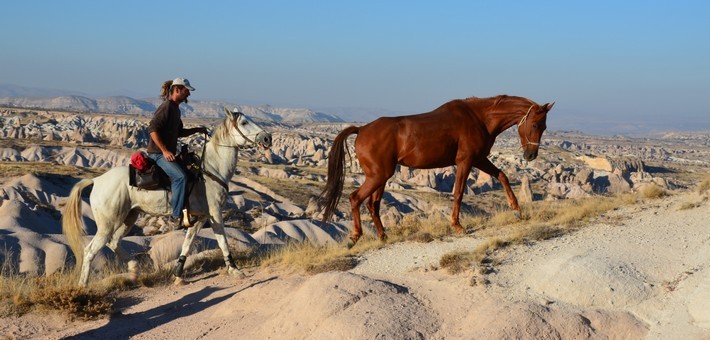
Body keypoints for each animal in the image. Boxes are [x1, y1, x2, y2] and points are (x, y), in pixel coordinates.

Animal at [62, 109, 272, 286]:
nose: (267, 137)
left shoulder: (199, 217)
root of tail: (96, 180)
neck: (211, 169)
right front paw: (235, 270)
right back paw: (83, 286)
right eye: (244, 122)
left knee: (113, 242)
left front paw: (178, 275)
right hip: (108, 223)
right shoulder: (215, 213)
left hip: (130, 217)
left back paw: (134, 269)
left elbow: (187, 244)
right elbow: (223, 241)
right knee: (90, 251)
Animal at [318, 94, 556, 246]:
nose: (530, 155)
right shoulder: (466, 161)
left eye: (544, 126)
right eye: (535, 124)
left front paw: (516, 207)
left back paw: (383, 236)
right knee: (355, 198)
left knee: (372, 205)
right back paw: (355, 236)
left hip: (381, 177)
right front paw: (457, 225)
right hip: (378, 176)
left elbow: (503, 175)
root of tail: (361, 130)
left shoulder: (479, 159)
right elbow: (458, 193)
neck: (480, 118)